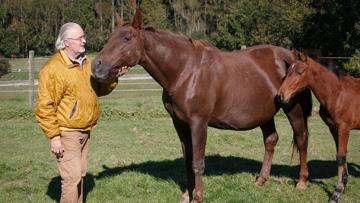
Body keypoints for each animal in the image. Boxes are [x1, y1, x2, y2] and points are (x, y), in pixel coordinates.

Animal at [92, 9, 312, 201]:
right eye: (111, 37)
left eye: (127, 38)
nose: (96, 66)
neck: (185, 71)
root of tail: (293, 59)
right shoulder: (180, 124)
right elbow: (188, 161)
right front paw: (186, 194)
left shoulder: (198, 123)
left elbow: (198, 162)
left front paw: (197, 197)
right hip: (264, 113)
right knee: (271, 140)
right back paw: (261, 180)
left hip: (293, 109)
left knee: (301, 139)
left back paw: (301, 182)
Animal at [278, 50, 358, 201]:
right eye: (287, 73)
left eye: (300, 72)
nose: (280, 96)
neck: (338, 94)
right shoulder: (333, 128)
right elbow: (341, 154)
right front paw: (344, 184)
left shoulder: (344, 128)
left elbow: (341, 156)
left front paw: (337, 193)